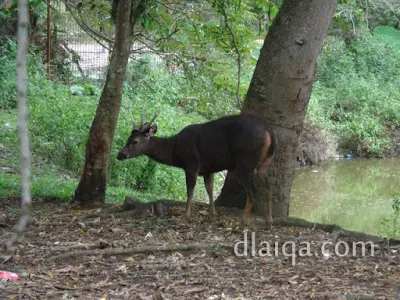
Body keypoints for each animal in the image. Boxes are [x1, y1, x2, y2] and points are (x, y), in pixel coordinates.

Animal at [117, 112, 276, 227]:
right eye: (128, 138)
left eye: (135, 141)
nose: (120, 155)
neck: (175, 152)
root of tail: (269, 132)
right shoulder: (208, 169)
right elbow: (210, 189)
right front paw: (213, 214)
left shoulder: (191, 164)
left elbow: (190, 191)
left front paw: (185, 217)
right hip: (264, 164)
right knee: (268, 188)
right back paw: (269, 221)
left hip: (245, 162)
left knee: (252, 192)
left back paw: (243, 222)